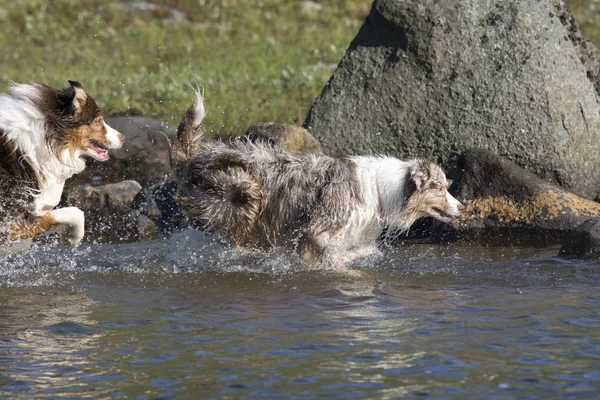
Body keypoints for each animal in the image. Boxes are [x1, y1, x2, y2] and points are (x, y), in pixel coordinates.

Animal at [171, 93, 462, 268]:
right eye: (438, 187)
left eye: (446, 186)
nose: (461, 206)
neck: (386, 189)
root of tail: (198, 155)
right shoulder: (318, 230)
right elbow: (336, 258)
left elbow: (362, 250)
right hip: (245, 191)